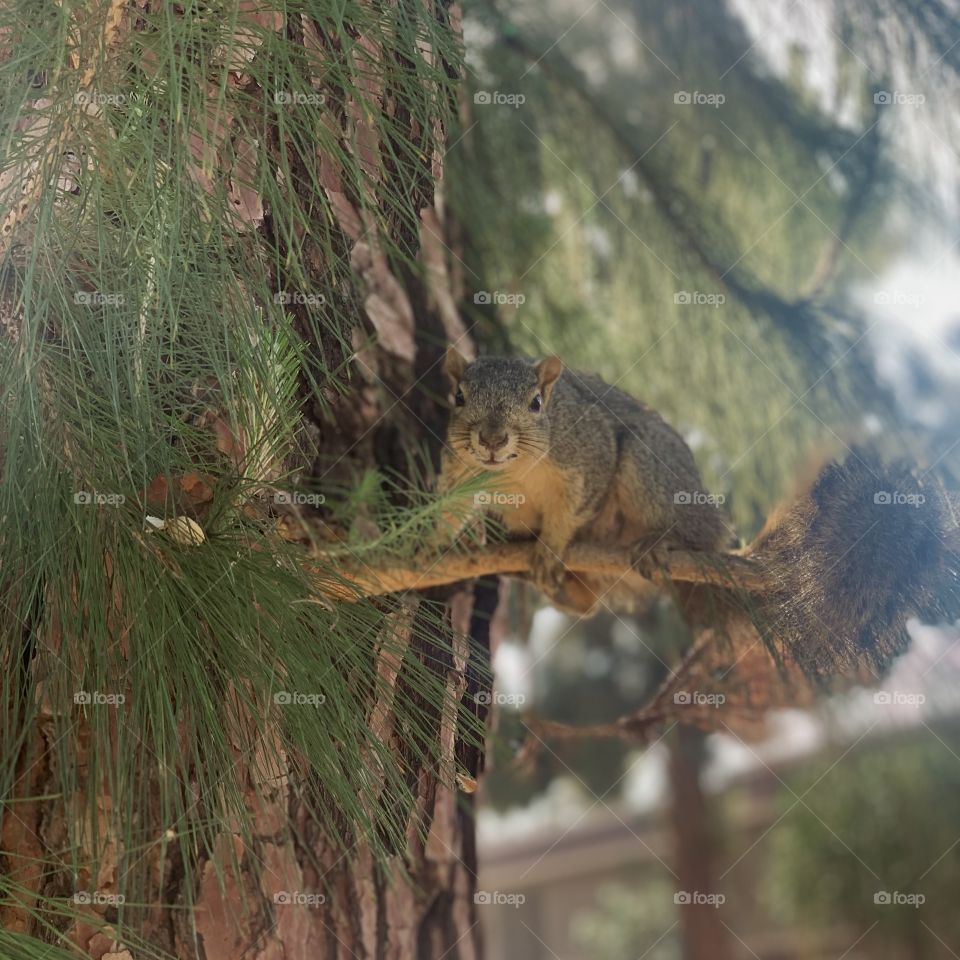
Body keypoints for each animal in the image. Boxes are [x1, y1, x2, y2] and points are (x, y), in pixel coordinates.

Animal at [435, 347, 960, 678]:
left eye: (536, 402)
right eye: (458, 397)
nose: (492, 439)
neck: (513, 470)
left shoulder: (589, 455)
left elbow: (575, 506)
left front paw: (551, 546)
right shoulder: (460, 472)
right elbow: (448, 505)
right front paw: (427, 547)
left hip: (650, 472)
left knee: (675, 535)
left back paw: (648, 545)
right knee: (587, 605)